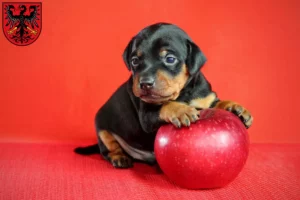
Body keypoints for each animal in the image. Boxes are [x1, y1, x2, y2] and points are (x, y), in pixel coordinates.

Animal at [74, 21, 253, 169]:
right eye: (134, 61)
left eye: (170, 59)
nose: (145, 83)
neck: (183, 93)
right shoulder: (146, 115)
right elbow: (166, 104)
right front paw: (182, 110)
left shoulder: (205, 98)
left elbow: (217, 103)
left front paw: (236, 108)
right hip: (102, 127)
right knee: (107, 148)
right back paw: (119, 157)